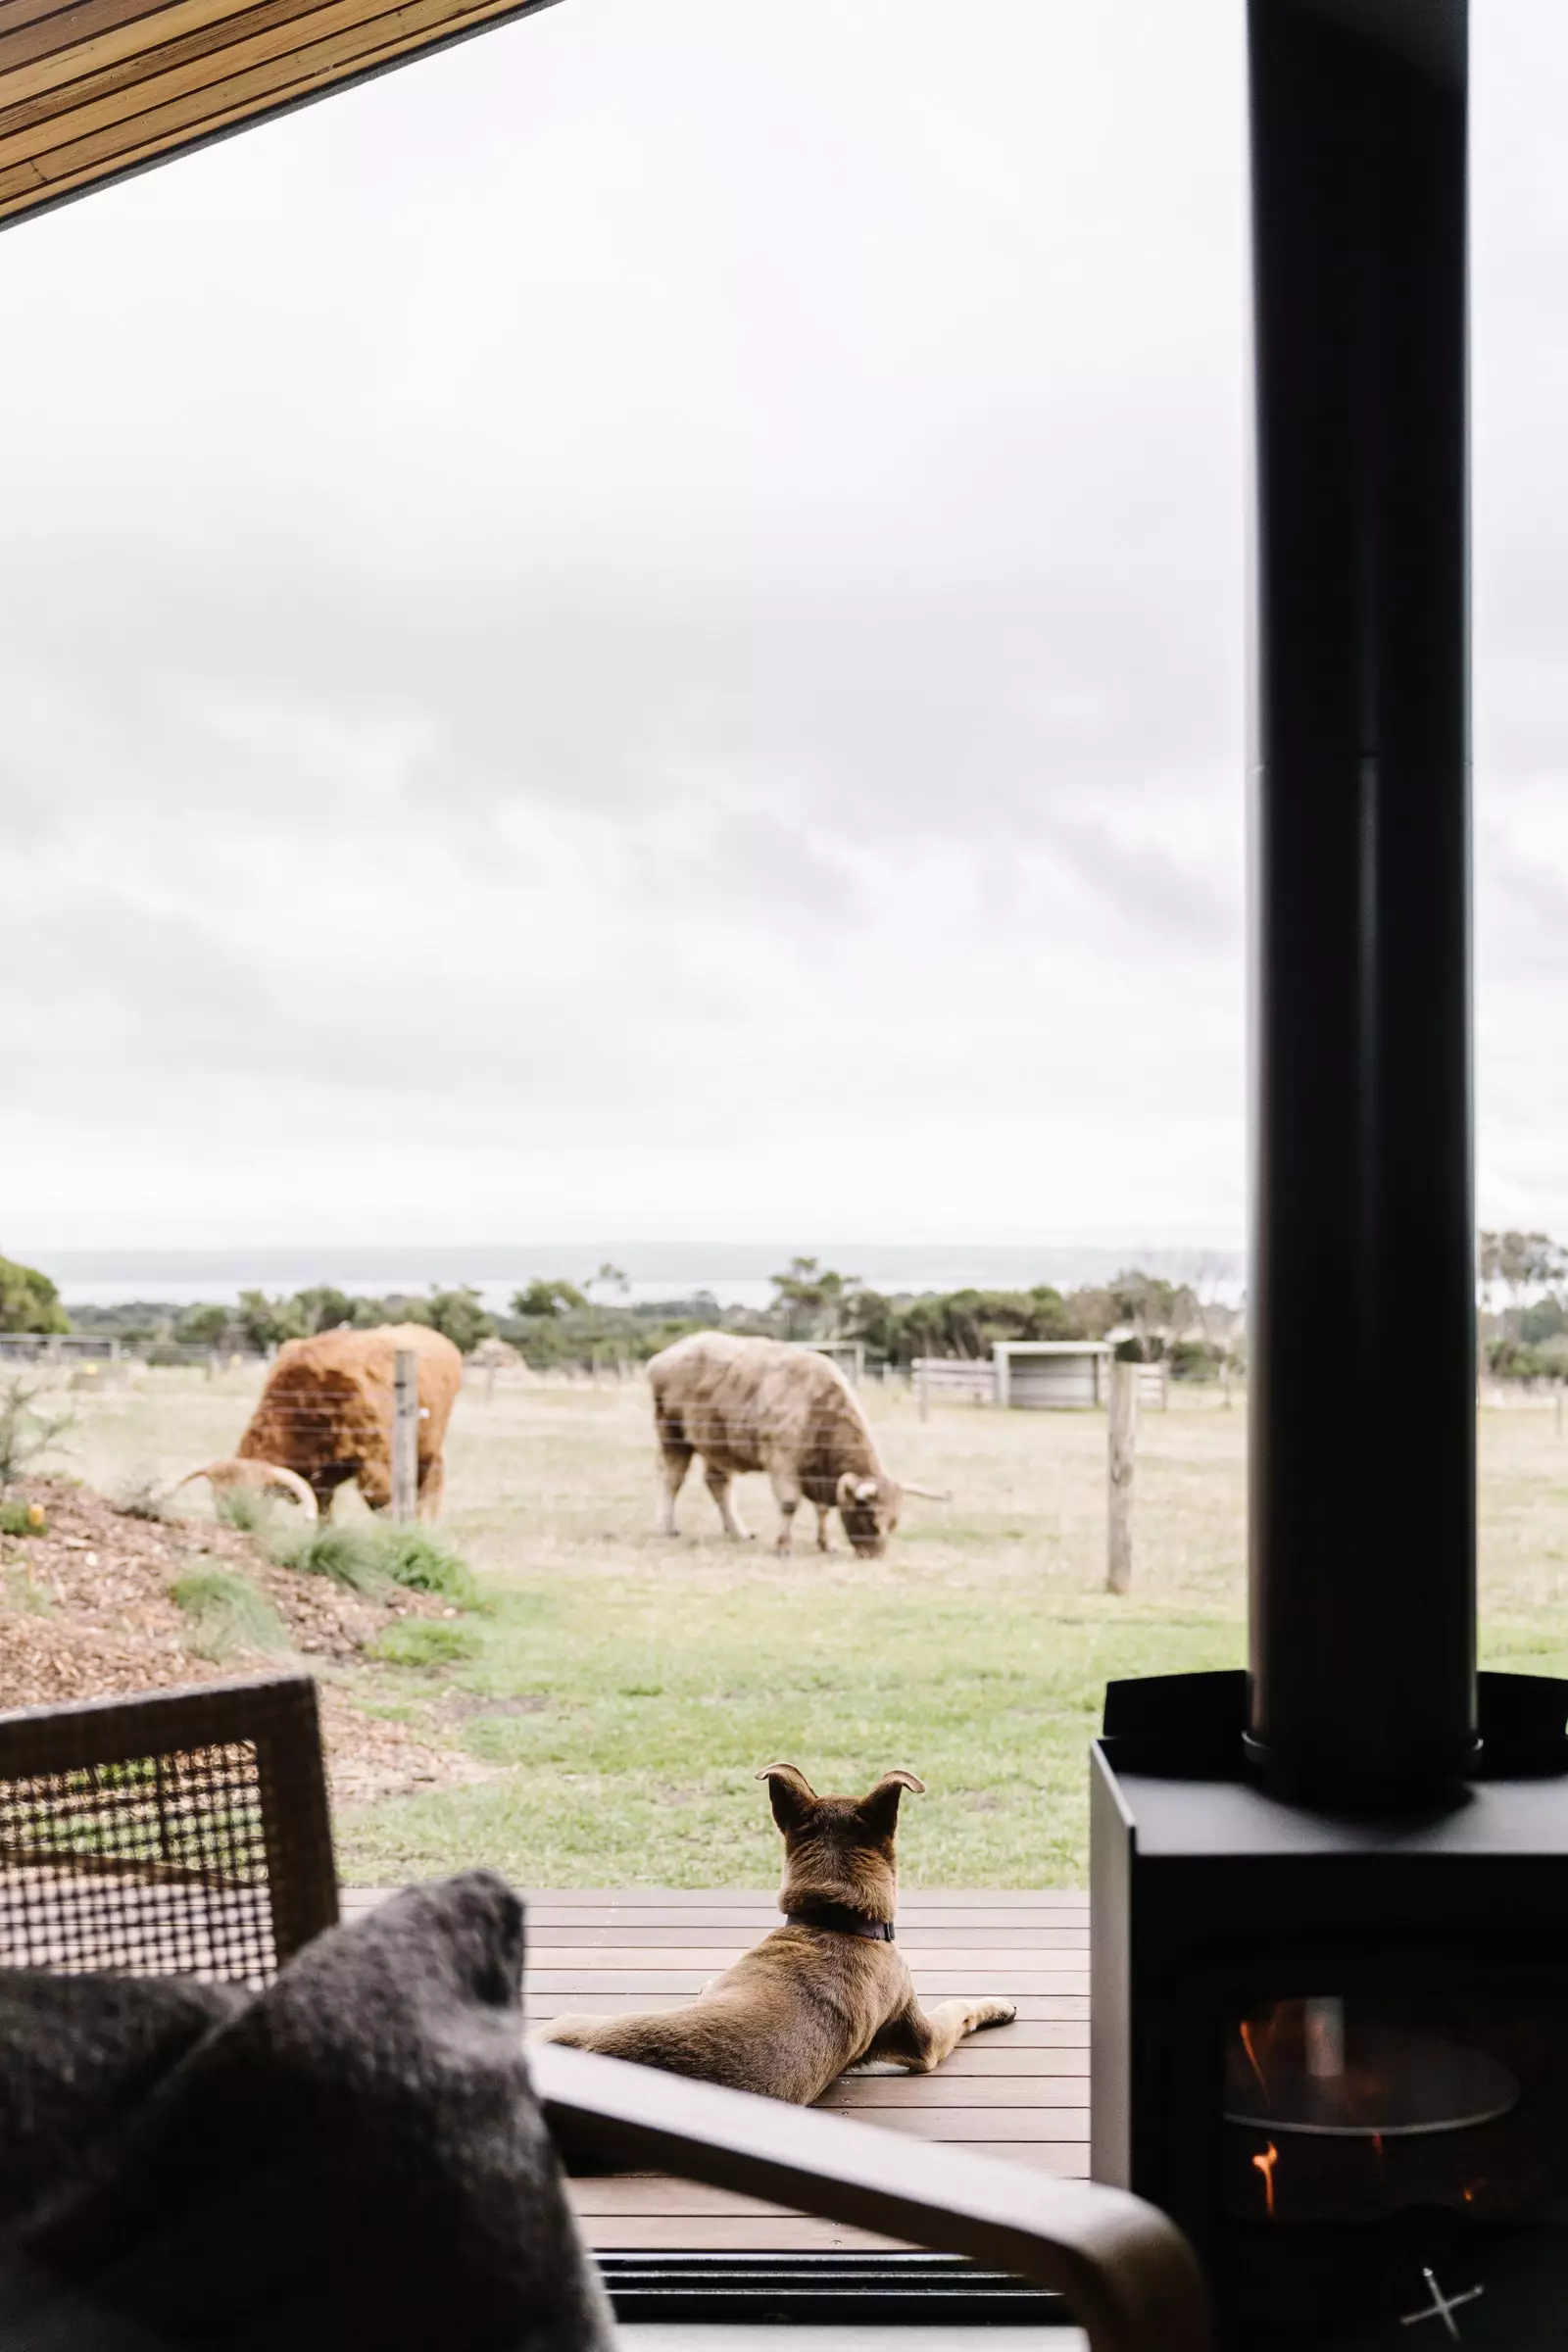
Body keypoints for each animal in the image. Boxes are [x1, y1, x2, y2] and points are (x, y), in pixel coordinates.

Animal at [186, 1326, 463, 1524]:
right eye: (218, 1500)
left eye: (252, 1498)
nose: (233, 1524)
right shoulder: (322, 1478)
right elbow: (324, 1512)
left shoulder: (375, 1465)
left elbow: (383, 1503)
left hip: (428, 1448)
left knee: (431, 1484)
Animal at [649, 1336, 950, 1552]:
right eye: (871, 1519)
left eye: (894, 1522)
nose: (874, 1555)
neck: (817, 1408)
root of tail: (667, 1354)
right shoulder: (781, 1462)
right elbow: (789, 1504)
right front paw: (783, 1545)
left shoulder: (819, 1475)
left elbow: (823, 1509)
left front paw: (826, 1543)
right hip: (673, 1436)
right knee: (672, 1479)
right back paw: (668, 1526)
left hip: (717, 1445)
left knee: (718, 1484)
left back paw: (738, 1531)